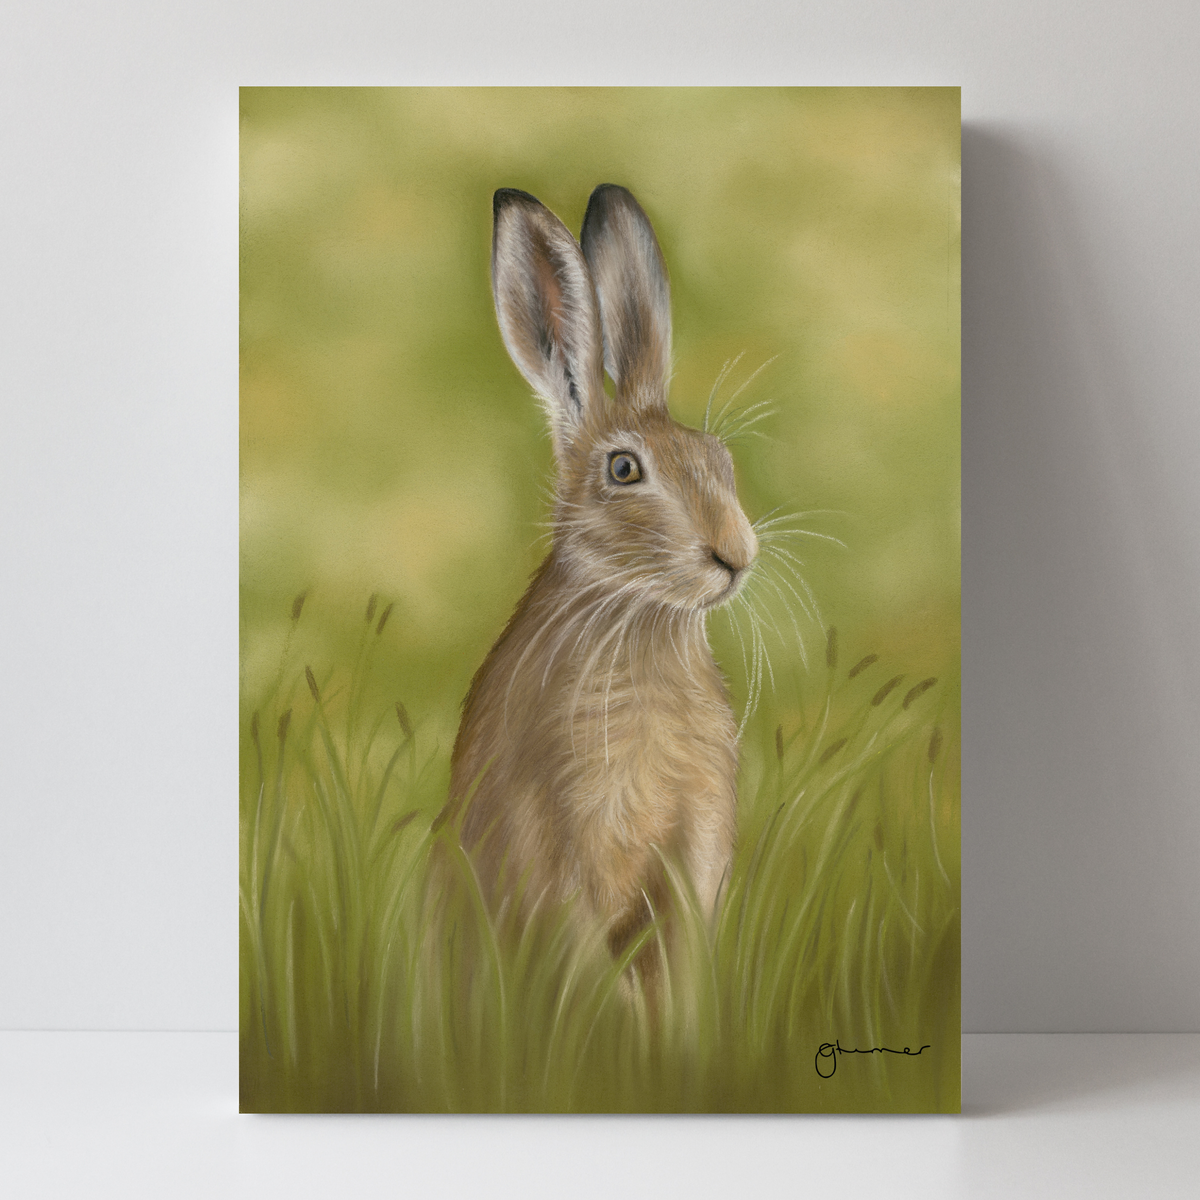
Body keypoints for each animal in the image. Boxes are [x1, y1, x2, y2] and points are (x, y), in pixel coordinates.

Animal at [448, 184, 758, 976]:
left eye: (719, 457)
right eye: (623, 470)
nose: (735, 553)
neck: (641, 618)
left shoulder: (695, 852)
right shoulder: (560, 844)